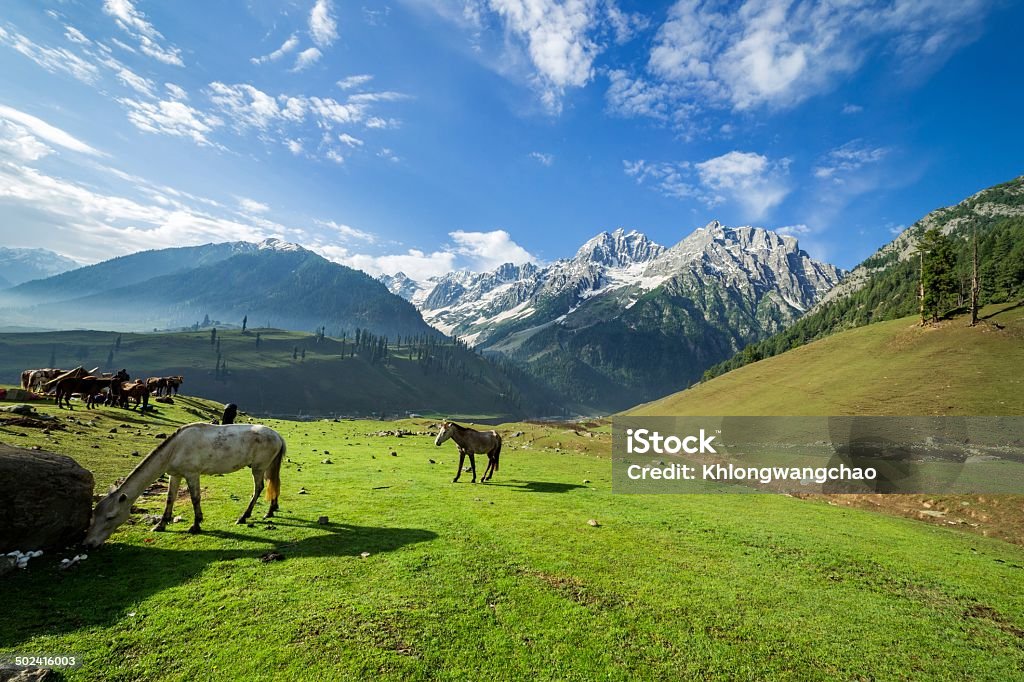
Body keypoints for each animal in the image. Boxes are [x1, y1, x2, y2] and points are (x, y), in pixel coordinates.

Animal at [80, 419, 284, 548]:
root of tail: (278, 436)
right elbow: (170, 499)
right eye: (93, 515)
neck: (175, 448)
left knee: (259, 488)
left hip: (258, 467)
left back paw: (244, 516)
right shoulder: (175, 475)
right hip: (268, 466)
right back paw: (270, 511)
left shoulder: (192, 474)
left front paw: (196, 525)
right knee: (273, 484)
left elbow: (195, 498)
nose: (88, 544)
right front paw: (161, 525)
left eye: (110, 517)